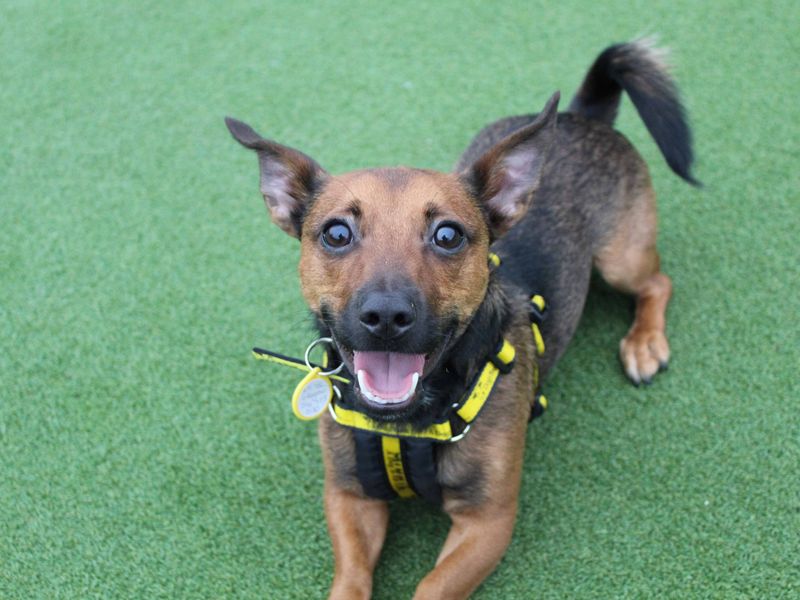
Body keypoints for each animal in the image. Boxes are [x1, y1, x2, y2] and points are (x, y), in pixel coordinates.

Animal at [227, 39, 700, 596]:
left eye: (448, 236)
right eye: (336, 233)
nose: (386, 314)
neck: (406, 426)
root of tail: (582, 113)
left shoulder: (488, 521)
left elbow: (431, 587)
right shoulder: (348, 497)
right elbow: (350, 580)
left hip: (621, 259)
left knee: (658, 283)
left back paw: (644, 343)